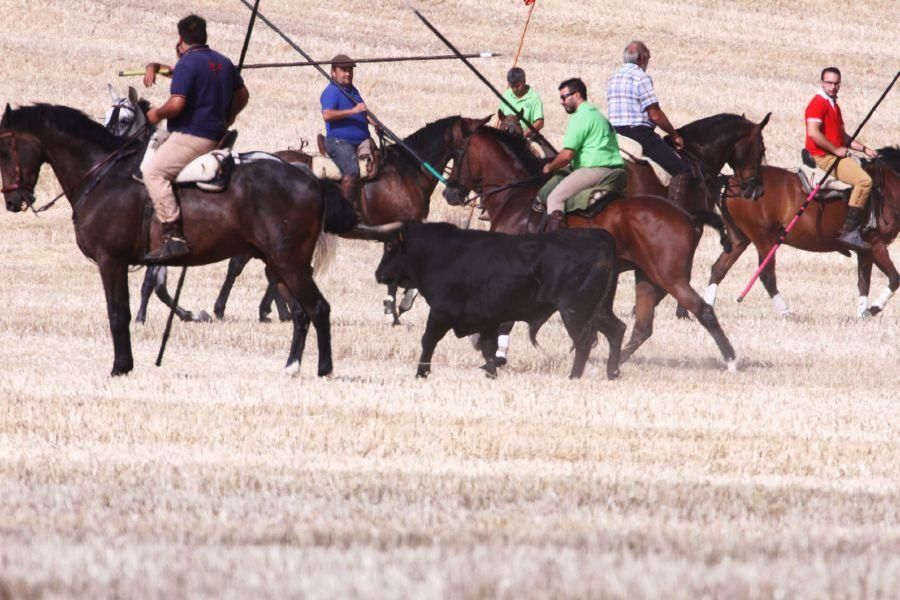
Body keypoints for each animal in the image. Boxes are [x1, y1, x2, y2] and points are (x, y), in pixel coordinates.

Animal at [0, 103, 358, 376]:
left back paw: (324, 369)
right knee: (300, 313)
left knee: (319, 308)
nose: (13, 200)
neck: (103, 176)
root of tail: (311, 179)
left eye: (5, 148)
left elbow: (118, 313)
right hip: (277, 265)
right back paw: (291, 367)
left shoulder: (110, 261)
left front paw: (121, 367)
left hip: (289, 263)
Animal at [372, 220, 624, 380]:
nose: (379, 274)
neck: (438, 253)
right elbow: (488, 348)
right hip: (598, 310)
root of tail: (597, 236)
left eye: (390, 246)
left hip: (574, 311)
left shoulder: (441, 312)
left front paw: (421, 373)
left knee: (584, 340)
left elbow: (428, 341)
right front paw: (491, 372)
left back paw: (574, 376)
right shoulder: (488, 320)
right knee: (617, 330)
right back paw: (612, 373)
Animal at [440, 126, 764, 370]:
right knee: (642, 327)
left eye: (458, 153)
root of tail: (686, 215)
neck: (517, 194)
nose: (450, 192)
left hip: (669, 277)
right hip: (647, 277)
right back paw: (614, 361)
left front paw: (492, 350)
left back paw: (731, 361)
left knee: (702, 311)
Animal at [708, 148, 896, 318]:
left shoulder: (864, 250)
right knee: (767, 275)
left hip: (739, 239)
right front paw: (873, 309)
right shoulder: (876, 245)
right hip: (764, 240)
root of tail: (732, 181)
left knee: (718, 269)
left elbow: (864, 281)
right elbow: (894, 278)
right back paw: (786, 312)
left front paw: (863, 313)